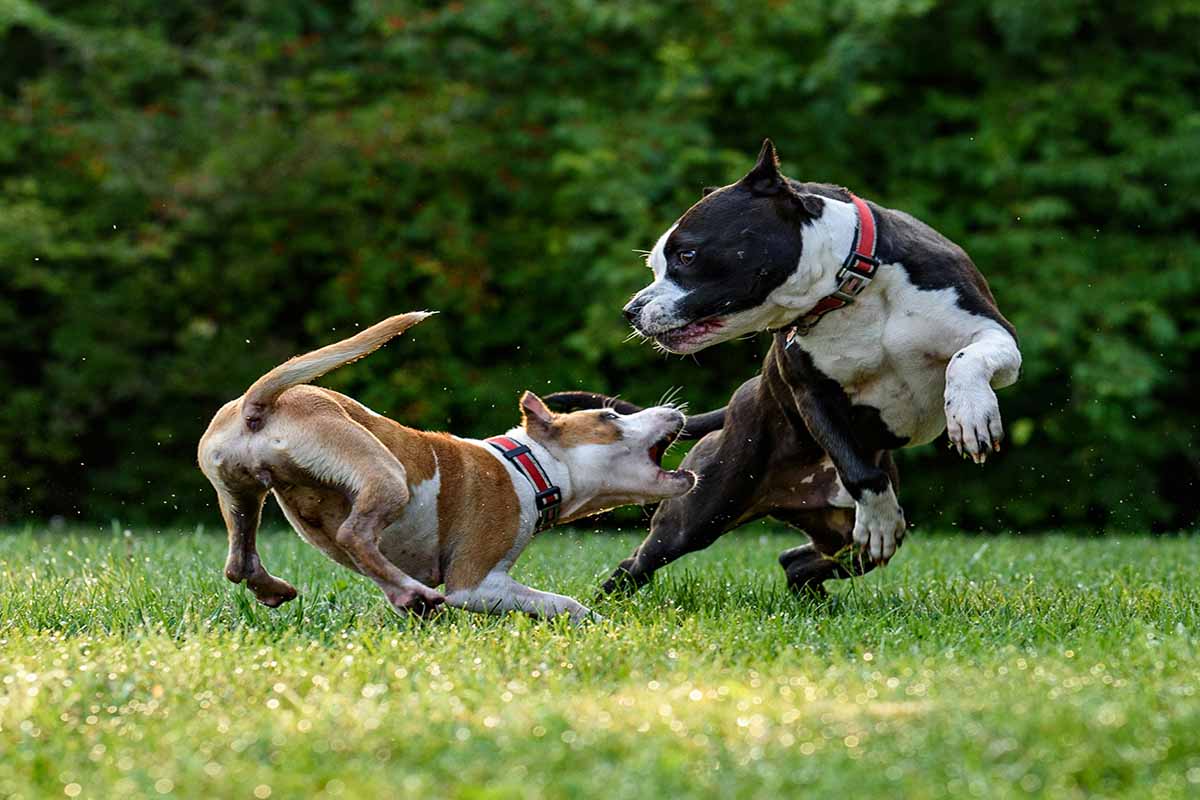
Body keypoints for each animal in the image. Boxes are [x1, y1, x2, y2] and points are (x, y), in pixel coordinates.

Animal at [199, 309, 696, 623]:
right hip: (384, 473)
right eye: (610, 417)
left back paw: (278, 589)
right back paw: (412, 593)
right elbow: (564, 604)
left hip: (239, 492)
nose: (675, 410)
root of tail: (258, 405)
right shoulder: (475, 583)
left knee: (239, 561)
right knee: (353, 534)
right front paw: (596, 622)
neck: (529, 467)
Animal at [549, 142, 1017, 594]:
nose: (631, 310)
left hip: (840, 538)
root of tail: (741, 397)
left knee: (798, 560)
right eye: (656, 265)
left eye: (687, 254)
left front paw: (971, 414)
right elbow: (859, 470)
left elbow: (966, 359)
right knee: (639, 562)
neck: (849, 289)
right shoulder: (810, 392)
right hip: (700, 511)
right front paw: (881, 518)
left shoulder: (996, 334)